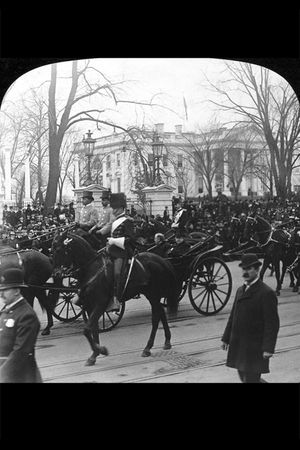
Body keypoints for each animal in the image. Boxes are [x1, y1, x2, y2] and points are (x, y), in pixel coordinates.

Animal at [51, 232, 180, 366]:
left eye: (58, 249)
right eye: (51, 249)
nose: (56, 274)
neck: (92, 268)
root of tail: (160, 259)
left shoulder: (100, 304)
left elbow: (86, 329)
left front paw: (101, 350)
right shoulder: (90, 306)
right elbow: (94, 329)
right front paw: (94, 354)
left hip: (153, 294)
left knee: (155, 318)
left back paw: (147, 348)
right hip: (152, 295)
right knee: (161, 313)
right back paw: (167, 341)